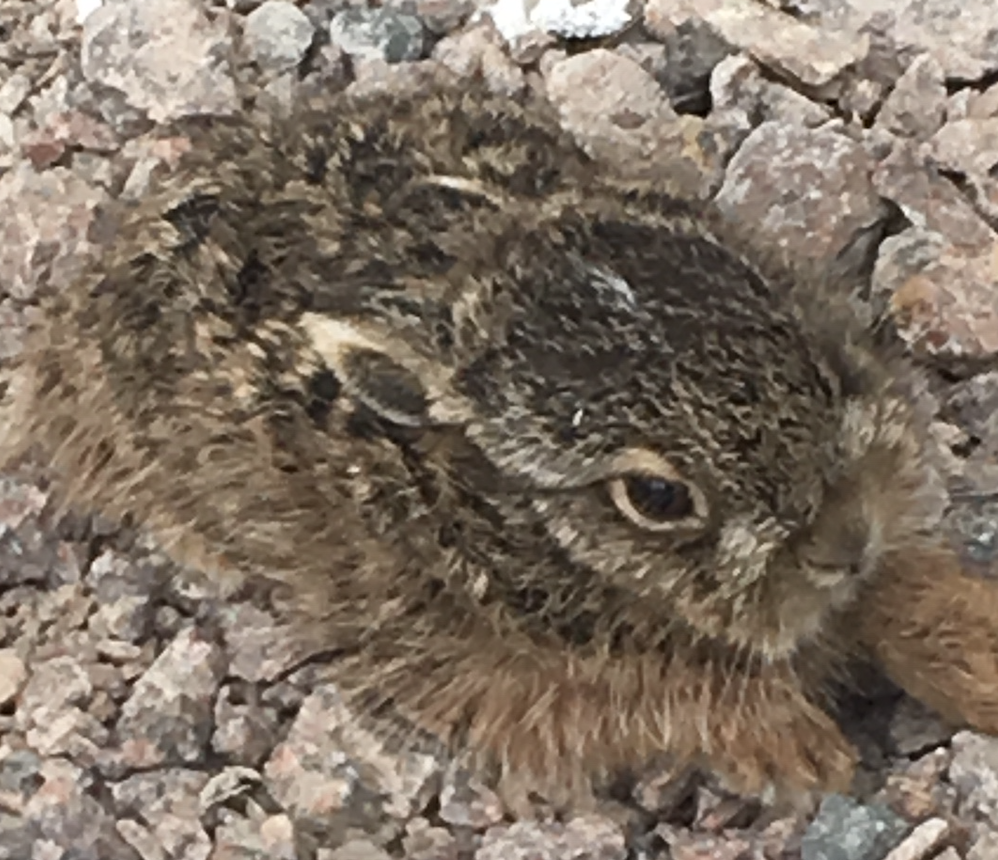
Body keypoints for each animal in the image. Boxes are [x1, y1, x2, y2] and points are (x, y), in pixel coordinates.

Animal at [4, 74, 998, 815]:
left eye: (812, 365)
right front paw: (804, 753)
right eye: (656, 498)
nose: (844, 544)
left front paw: (975, 660)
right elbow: (689, 702)